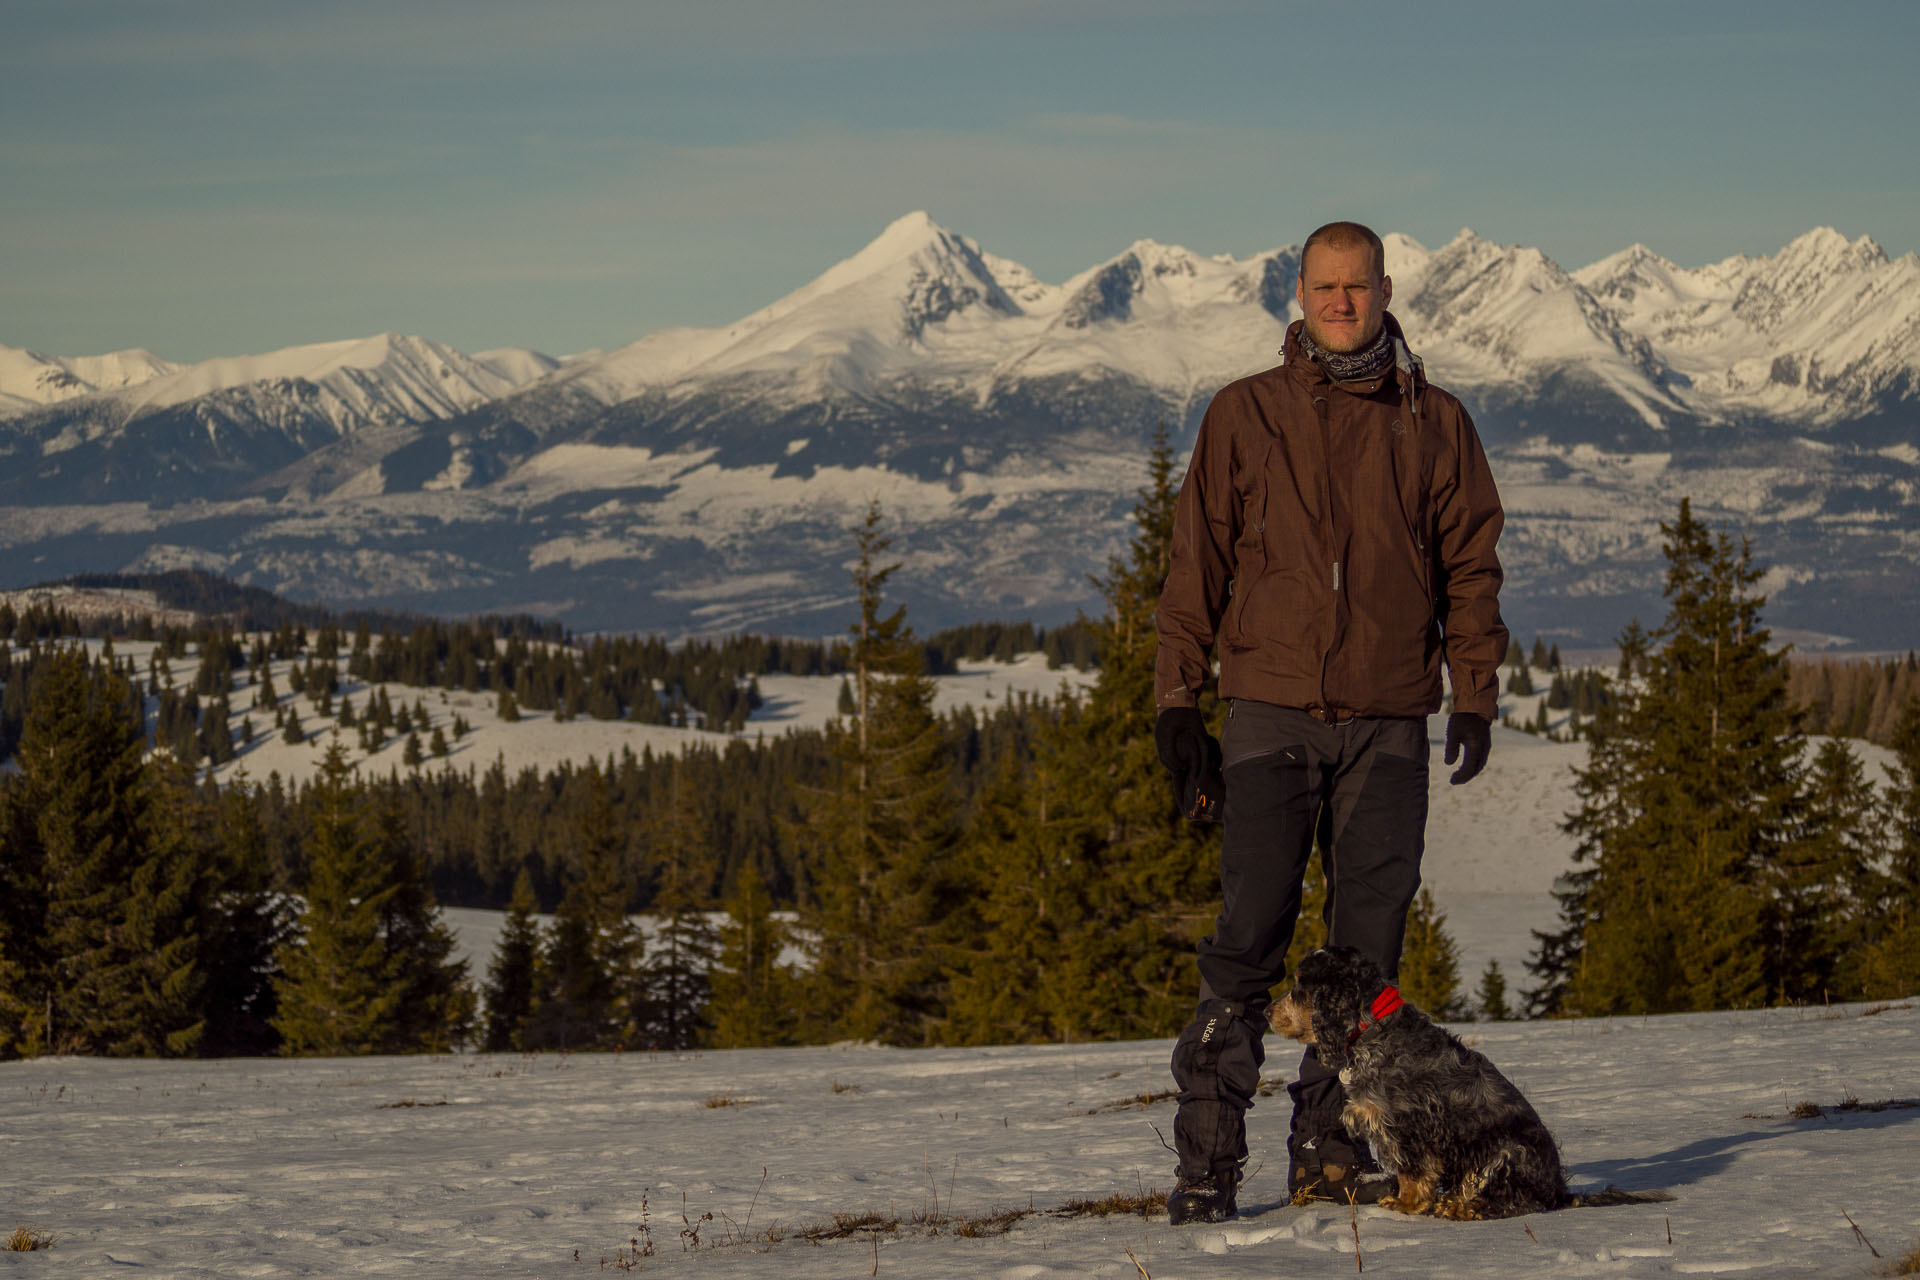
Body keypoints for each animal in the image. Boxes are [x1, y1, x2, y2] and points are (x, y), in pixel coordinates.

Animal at [1267, 948, 1566, 1220]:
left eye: (1299, 985)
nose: (1266, 1011)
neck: (1373, 1029)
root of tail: (1557, 1191)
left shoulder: (1407, 1123)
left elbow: (1412, 1171)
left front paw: (1406, 1204)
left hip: (1507, 1152)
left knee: (1513, 1201)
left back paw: (1461, 1208)